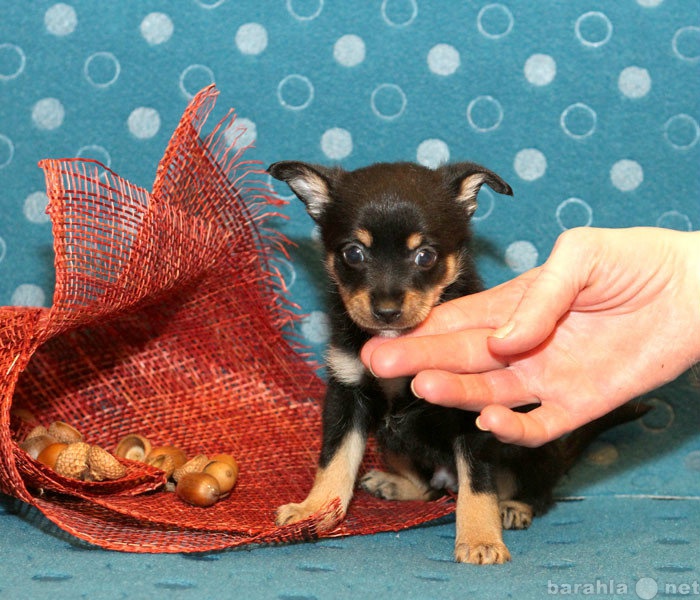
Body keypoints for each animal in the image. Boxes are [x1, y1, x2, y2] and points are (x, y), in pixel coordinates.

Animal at [266, 159, 644, 564]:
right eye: (353, 254)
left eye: (425, 256)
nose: (386, 311)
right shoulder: (347, 395)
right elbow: (334, 460)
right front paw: (314, 510)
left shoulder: (473, 413)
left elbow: (477, 484)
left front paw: (480, 539)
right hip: (390, 439)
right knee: (429, 485)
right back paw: (394, 483)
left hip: (528, 447)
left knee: (535, 490)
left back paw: (515, 506)